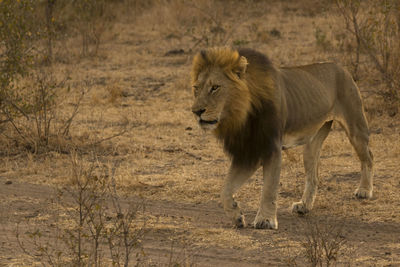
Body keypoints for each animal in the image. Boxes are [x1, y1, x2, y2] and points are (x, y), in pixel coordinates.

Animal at [191, 46, 372, 230]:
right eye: (196, 88)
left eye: (215, 87)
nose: (196, 111)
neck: (241, 115)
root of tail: (340, 66)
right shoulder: (248, 152)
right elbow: (225, 189)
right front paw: (237, 215)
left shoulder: (271, 148)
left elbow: (269, 188)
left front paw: (266, 220)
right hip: (312, 143)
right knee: (313, 175)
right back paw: (304, 206)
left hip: (355, 126)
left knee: (368, 156)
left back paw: (364, 190)